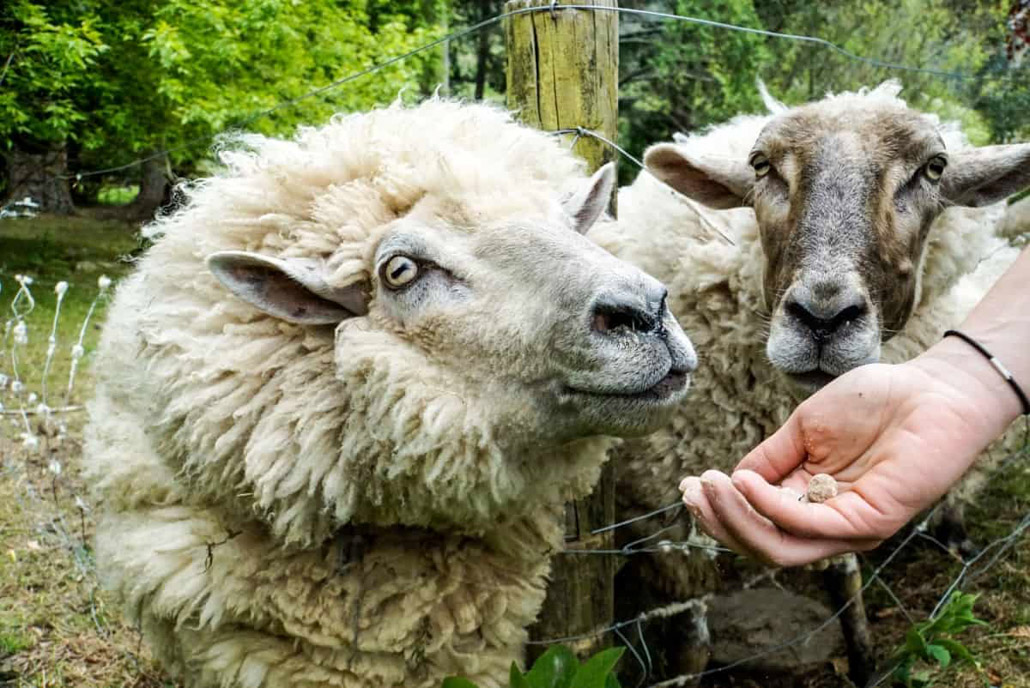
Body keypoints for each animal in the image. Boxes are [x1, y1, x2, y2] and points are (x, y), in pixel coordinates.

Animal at [591, 81, 1029, 682]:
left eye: (934, 168)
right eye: (760, 165)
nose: (822, 318)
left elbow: (846, 581)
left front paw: (865, 660)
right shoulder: (666, 518)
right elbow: (692, 643)